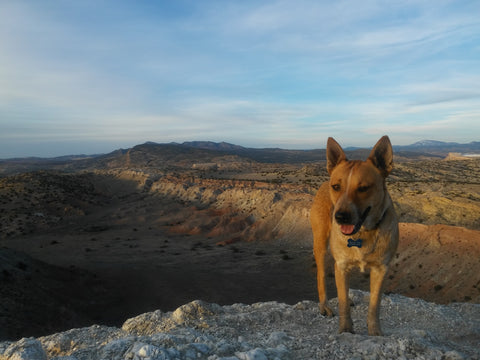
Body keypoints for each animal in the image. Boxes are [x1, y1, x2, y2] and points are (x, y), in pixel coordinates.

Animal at [310, 135, 400, 334]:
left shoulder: (381, 269)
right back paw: (324, 306)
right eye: (336, 186)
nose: (340, 217)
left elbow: (375, 304)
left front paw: (375, 332)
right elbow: (343, 304)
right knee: (321, 275)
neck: (363, 233)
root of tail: (323, 182)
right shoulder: (342, 264)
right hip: (320, 244)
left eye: (364, 188)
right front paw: (345, 330)